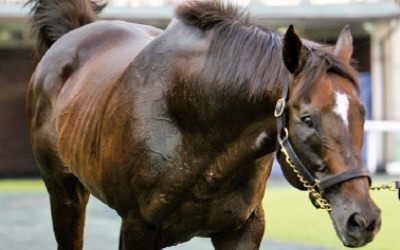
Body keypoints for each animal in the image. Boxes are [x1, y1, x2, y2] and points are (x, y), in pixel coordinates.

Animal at [25, 0, 382, 249]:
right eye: (307, 118)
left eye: (362, 112)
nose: (363, 219)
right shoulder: (137, 228)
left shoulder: (242, 231)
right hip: (65, 194)